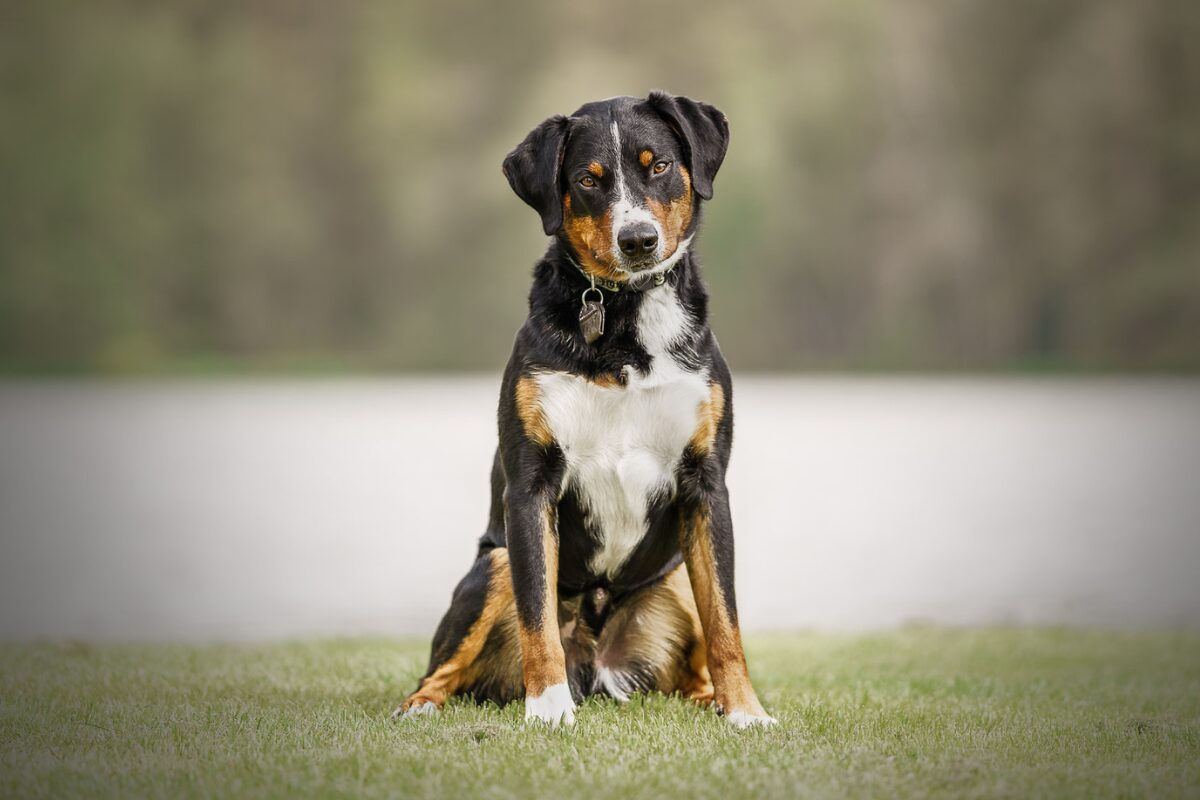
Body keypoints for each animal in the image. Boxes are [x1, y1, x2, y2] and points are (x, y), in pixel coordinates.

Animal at [388, 94, 772, 734]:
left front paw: (746, 711)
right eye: (588, 180)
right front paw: (547, 709)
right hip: (493, 565)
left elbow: (727, 621)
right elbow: (538, 618)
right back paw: (418, 709)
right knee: (439, 672)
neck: (624, 323)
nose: (638, 238)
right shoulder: (531, 486)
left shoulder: (706, 485)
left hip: (674, 579)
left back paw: (712, 699)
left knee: (695, 661)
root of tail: (597, 661)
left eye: (658, 165)